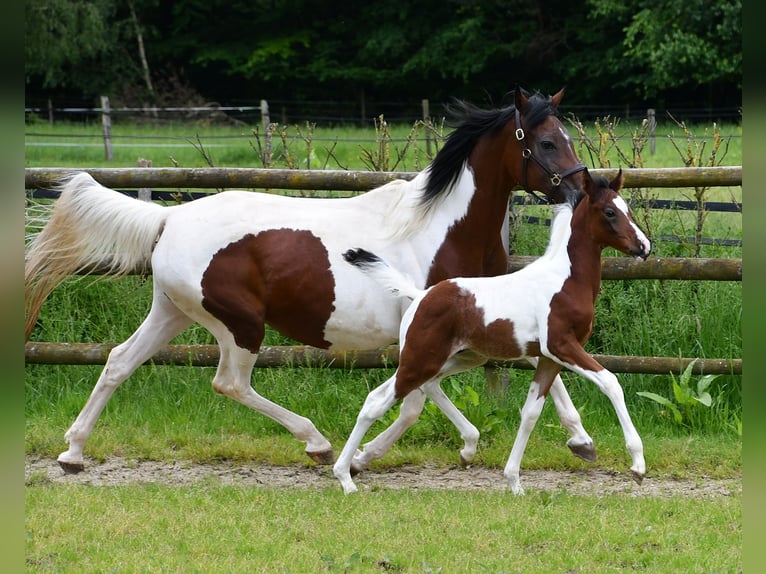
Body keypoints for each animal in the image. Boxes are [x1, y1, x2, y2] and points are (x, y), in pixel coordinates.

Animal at [24, 86, 588, 472]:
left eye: (565, 137)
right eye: (545, 142)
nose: (582, 192)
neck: (441, 230)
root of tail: (169, 218)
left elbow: (539, 372)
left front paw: (579, 440)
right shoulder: (429, 326)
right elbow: (414, 401)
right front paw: (367, 455)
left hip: (173, 312)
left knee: (119, 361)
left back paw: (73, 452)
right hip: (238, 325)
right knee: (229, 382)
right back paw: (316, 442)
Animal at [338, 169, 656, 498]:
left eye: (628, 210)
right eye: (609, 212)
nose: (644, 247)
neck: (565, 280)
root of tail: (420, 295)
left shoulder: (549, 358)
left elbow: (531, 413)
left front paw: (514, 481)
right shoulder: (562, 346)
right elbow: (611, 383)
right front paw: (638, 466)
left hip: (459, 358)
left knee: (419, 388)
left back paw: (463, 449)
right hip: (420, 359)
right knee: (377, 402)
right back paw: (345, 477)